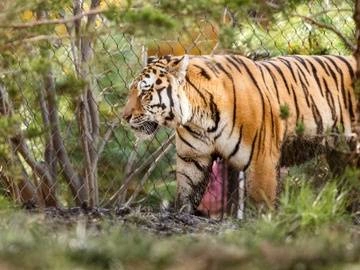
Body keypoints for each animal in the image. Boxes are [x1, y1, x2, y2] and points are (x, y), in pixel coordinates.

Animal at [123, 53, 358, 212]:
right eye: (131, 90)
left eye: (145, 92)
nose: (124, 116)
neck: (199, 119)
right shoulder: (193, 158)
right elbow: (186, 192)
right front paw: (182, 214)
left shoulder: (262, 159)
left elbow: (260, 203)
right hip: (342, 156)